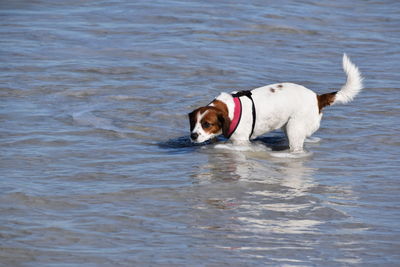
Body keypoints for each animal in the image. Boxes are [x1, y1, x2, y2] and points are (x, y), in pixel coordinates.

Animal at [188, 54, 362, 153]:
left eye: (207, 124)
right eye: (194, 123)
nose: (193, 136)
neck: (230, 109)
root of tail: (317, 97)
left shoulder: (241, 141)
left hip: (294, 129)